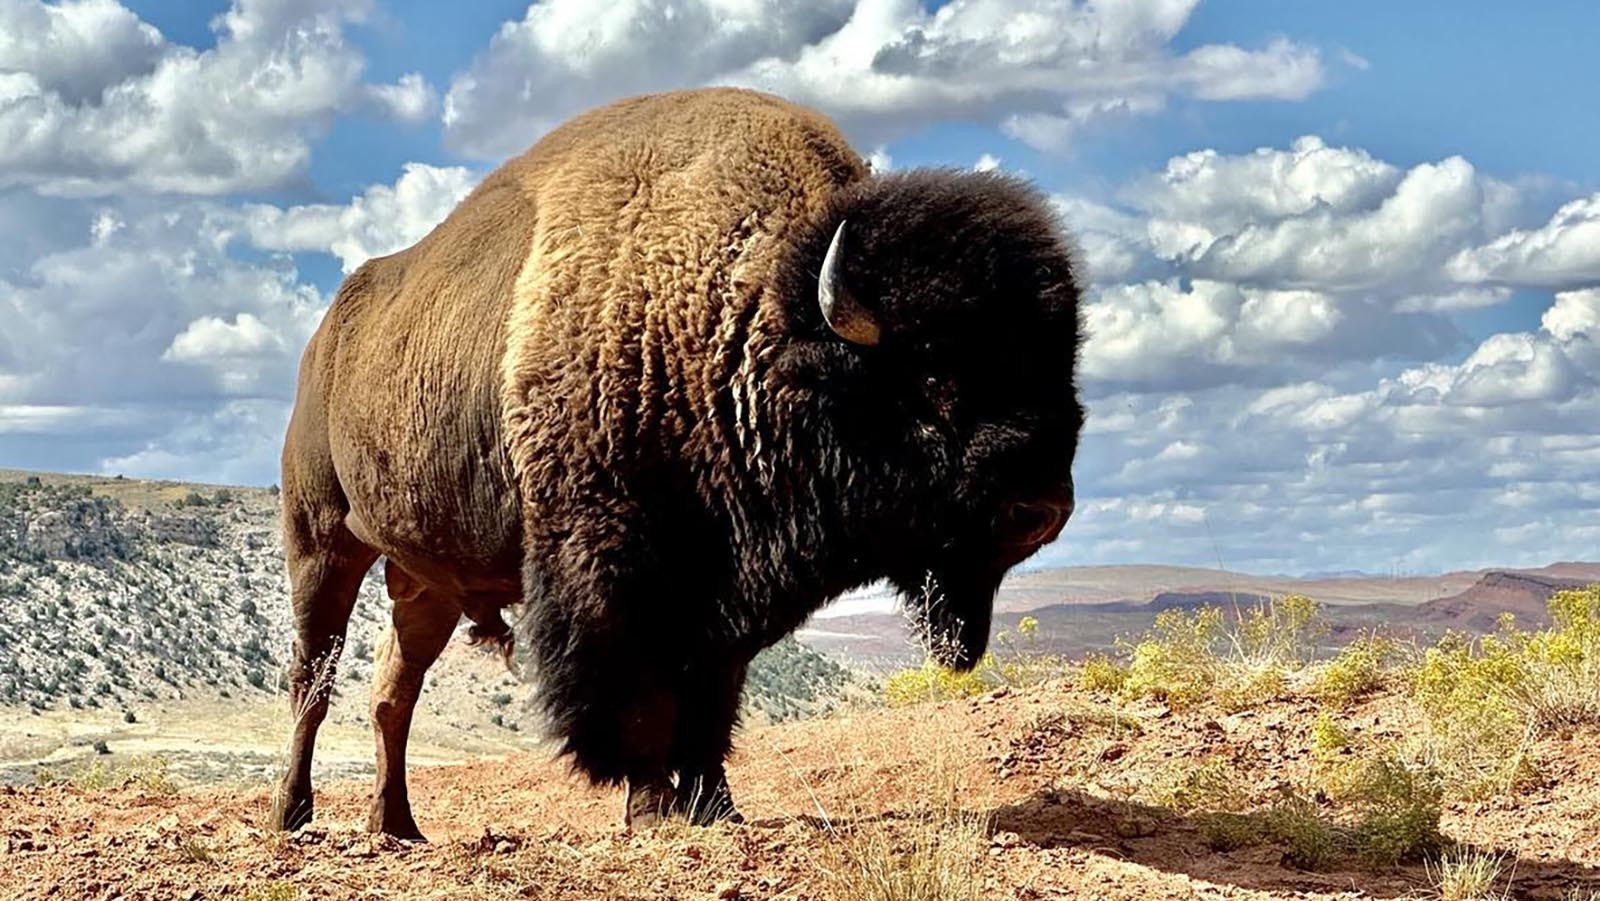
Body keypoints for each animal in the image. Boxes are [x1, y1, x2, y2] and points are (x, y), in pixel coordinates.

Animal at [275, 86, 1088, 838]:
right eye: (931, 378)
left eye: (1062, 365)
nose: (1043, 507)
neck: (750, 316)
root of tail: (324, 337)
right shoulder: (612, 572)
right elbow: (640, 700)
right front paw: (652, 808)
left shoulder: (721, 594)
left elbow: (709, 699)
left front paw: (717, 806)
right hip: (322, 542)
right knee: (312, 679)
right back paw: (294, 812)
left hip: (427, 583)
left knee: (393, 692)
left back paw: (398, 824)